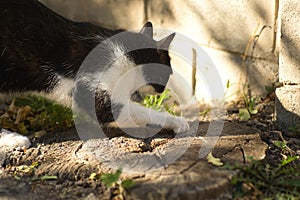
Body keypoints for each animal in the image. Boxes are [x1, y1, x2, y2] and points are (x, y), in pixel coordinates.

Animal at [0, 0, 189, 147]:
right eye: (169, 73)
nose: (162, 90)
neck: (126, 55)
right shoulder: (98, 93)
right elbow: (139, 112)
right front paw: (176, 121)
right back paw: (13, 139)